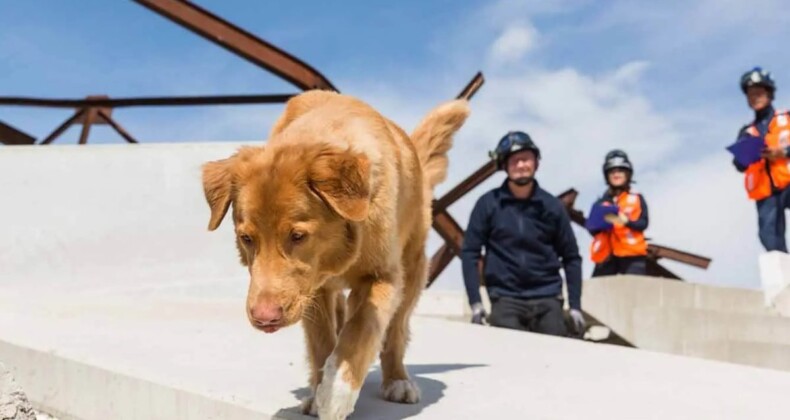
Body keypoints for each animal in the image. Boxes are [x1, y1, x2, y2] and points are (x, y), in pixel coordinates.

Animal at [201, 90, 470, 418]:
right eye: (247, 238)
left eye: (298, 236)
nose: (265, 318)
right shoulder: (313, 291)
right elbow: (322, 342)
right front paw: (319, 393)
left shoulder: (383, 276)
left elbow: (361, 329)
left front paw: (336, 393)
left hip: (413, 269)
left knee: (395, 330)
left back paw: (397, 381)